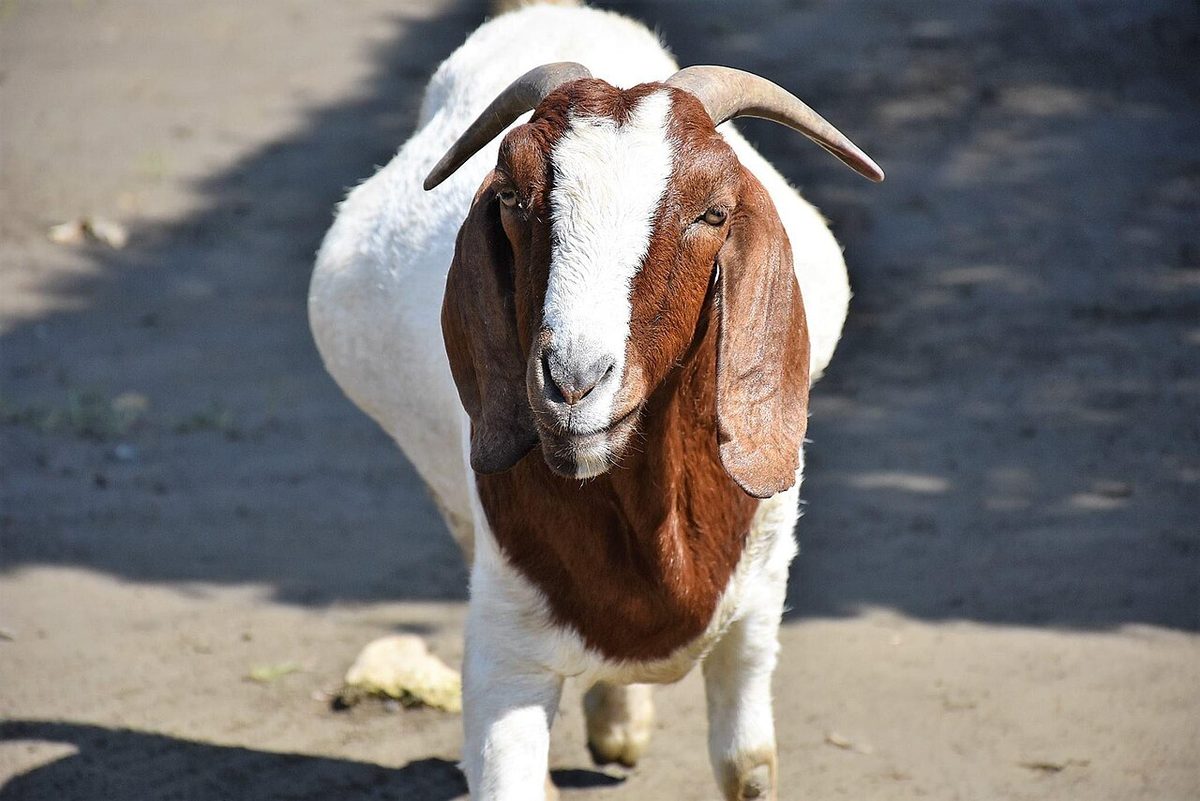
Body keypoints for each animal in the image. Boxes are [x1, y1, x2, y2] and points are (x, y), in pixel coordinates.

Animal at [309, 3, 882, 799]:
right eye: (512, 197)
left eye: (712, 213)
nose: (574, 381)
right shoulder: (506, 639)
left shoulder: (758, 604)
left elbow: (747, 765)